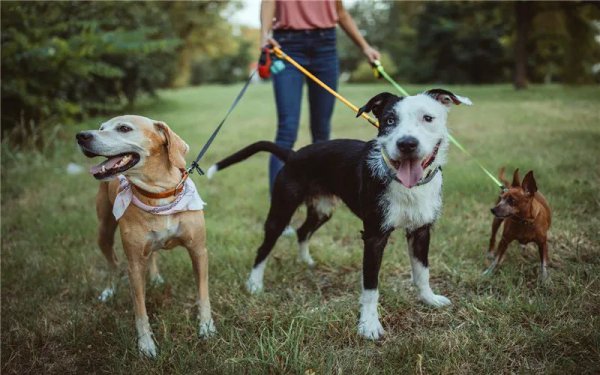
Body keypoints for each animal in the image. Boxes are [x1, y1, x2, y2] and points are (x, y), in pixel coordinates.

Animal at [76, 117, 214, 358]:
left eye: (124, 128)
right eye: (101, 128)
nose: (81, 136)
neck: (159, 194)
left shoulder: (198, 250)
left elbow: (203, 293)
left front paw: (206, 326)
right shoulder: (134, 264)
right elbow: (140, 310)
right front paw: (146, 345)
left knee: (152, 255)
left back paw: (156, 277)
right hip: (103, 232)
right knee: (113, 264)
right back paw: (109, 290)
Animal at [209, 89, 472, 340]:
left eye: (428, 118)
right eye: (389, 120)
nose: (407, 144)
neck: (406, 185)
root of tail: (293, 154)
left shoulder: (421, 230)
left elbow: (422, 271)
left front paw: (429, 299)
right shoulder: (374, 237)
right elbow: (371, 286)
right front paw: (368, 325)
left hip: (322, 210)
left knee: (303, 231)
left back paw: (306, 261)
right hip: (281, 211)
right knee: (264, 247)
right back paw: (254, 284)